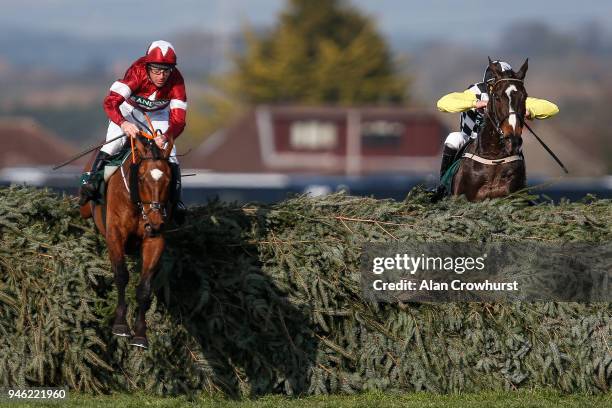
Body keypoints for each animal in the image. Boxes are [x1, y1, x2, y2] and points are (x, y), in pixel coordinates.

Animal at [80, 133, 173, 348]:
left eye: (169, 180)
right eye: (141, 178)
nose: (155, 222)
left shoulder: (155, 241)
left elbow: (145, 288)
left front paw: (140, 334)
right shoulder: (115, 234)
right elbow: (121, 275)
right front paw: (121, 324)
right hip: (85, 209)